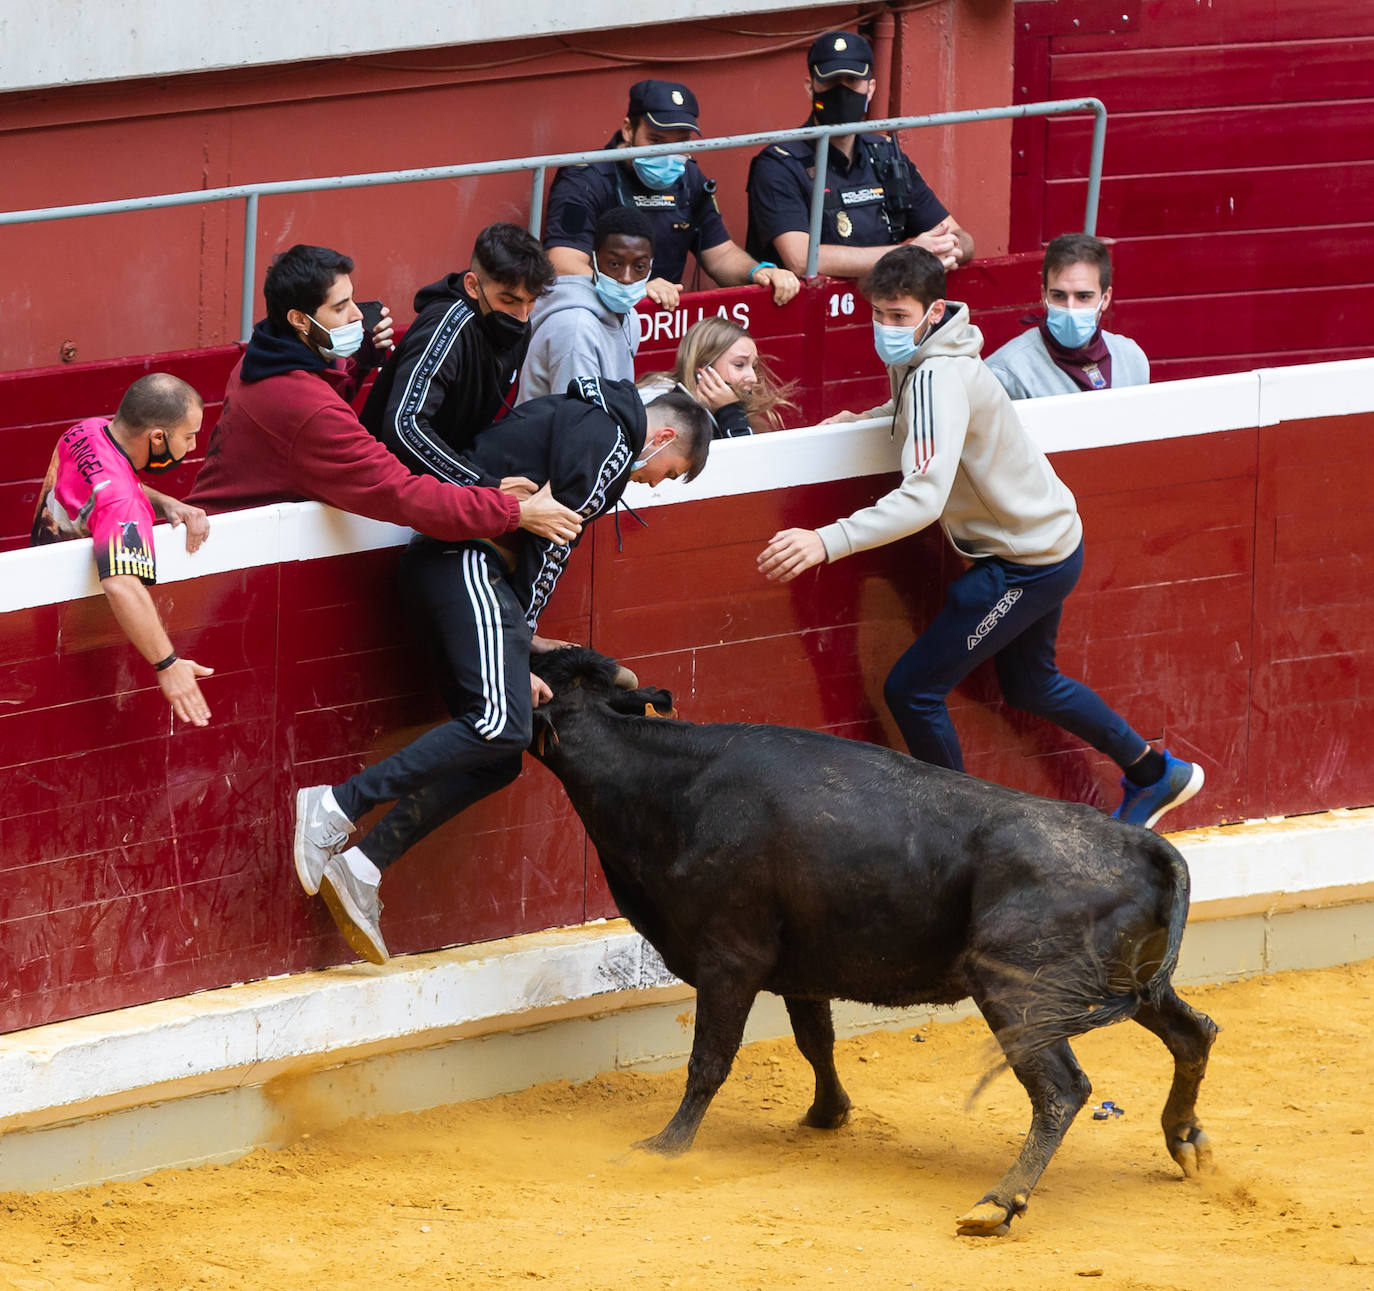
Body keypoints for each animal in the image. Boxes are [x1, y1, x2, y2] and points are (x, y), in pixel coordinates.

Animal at [530, 650, 1220, 1236]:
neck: (671, 786)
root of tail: (1142, 844)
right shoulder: (800, 966)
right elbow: (815, 1041)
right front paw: (827, 1113)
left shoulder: (729, 959)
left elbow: (709, 1060)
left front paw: (666, 1146)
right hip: (1131, 983)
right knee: (1195, 1032)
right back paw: (1186, 1140)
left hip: (1014, 990)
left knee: (1061, 1089)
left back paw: (998, 1203)